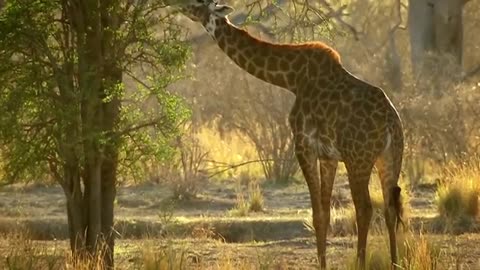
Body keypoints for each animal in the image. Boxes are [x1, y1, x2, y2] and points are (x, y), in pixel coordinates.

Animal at [176, 0, 404, 268]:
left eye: (197, 2)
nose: (176, 5)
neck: (291, 79)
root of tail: (391, 124)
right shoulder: (328, 155)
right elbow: (325, 212)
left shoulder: (303, 145)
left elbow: (317, 215)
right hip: (389, 158)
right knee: (390, 208)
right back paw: (395, 263)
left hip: (358, 159)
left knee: (365, 208)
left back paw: (361, 262)